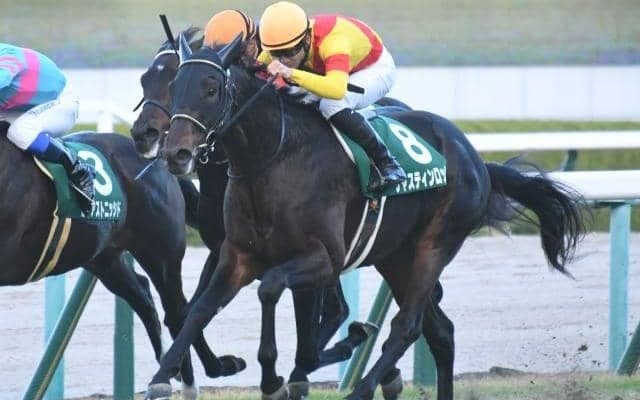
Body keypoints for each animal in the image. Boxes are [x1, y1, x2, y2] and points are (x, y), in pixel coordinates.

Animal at [0, 123, 245, 400]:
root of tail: (159, 159)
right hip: (102, 257)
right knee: (143, 296)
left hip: (160, 253)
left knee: (178, 312)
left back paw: (196, 377)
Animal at [132, 27, 386, 399]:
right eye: (146, 79)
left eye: (210, 90)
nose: (144, 135)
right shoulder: (226, 250)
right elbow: (189, 312)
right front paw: (210, 367)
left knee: (339, 310)